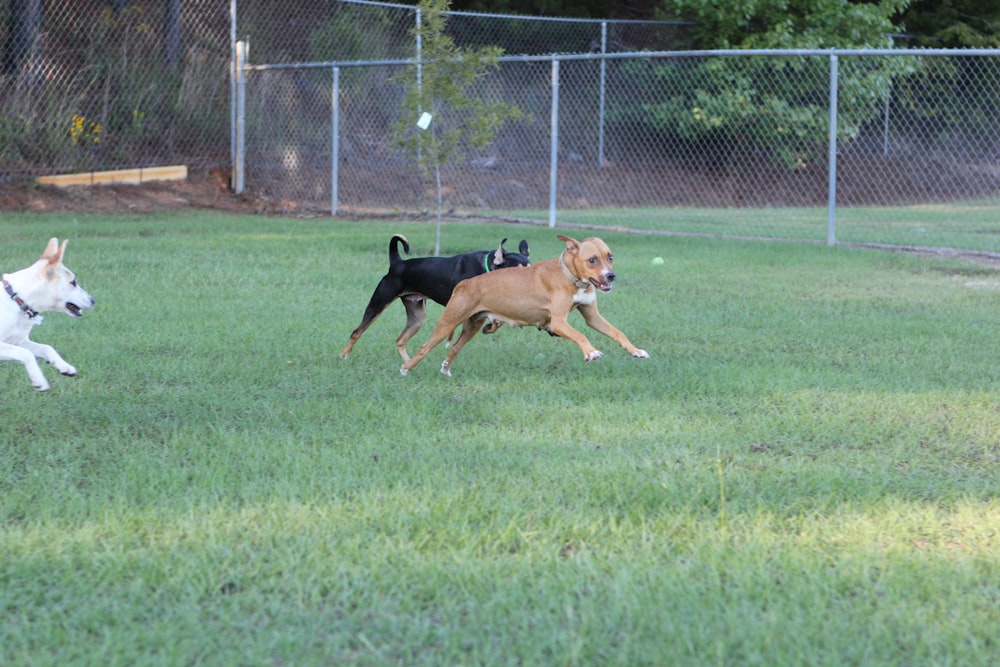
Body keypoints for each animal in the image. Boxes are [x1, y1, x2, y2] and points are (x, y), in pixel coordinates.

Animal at [2, 239, 95, 392]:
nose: (93, 301)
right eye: (73, 282)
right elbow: (26, 353)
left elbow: (47, 347)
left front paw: (65, 367)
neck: (16, 300)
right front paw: (39, 380)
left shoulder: (18, 341)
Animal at [342, 234, 532, 362]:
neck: (486, 269)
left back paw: (408, 363)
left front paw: (489, 327)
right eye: (516, 271)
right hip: (378, 303)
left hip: (417, 315)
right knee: (356, 332)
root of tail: (398, 263)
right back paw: (344, 355)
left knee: (400, 340)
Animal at [398, 236, 648, 378]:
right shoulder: (559, 322)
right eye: (592, 260)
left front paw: (636, 351)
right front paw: (591, 352)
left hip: (472, 325)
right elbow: (580, 335)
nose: (611, 276)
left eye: (610, 257)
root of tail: (465, 283)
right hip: (448, 322)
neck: (570, 276)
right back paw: (405, 369)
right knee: (424, 347)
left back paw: (445, 369)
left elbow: (618, 332)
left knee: (455, 349)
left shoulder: (592, 317)